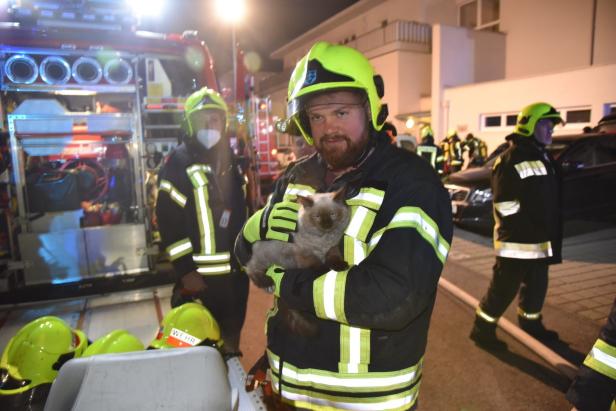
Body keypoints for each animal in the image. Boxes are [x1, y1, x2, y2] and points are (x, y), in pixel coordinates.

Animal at [247, 188, 352, 336]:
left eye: (332, 214)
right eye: (317, 217)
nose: (326, 225)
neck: (324, 241)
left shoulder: (332, 248)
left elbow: (335, 259)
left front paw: (340, 266)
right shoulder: (305, 253)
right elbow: (317, 264)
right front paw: (324, 268)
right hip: (266, 256)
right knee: (251, 269)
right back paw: (268, 284)